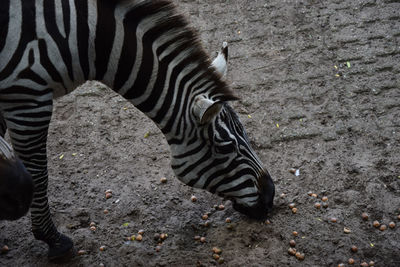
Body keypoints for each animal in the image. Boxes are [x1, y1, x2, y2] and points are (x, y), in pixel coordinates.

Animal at [0, 0, 276, 260]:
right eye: (226, 147)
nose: (271, 196)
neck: (87, 39)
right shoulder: (27, 99)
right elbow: (38, 175)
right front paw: (52, 239)